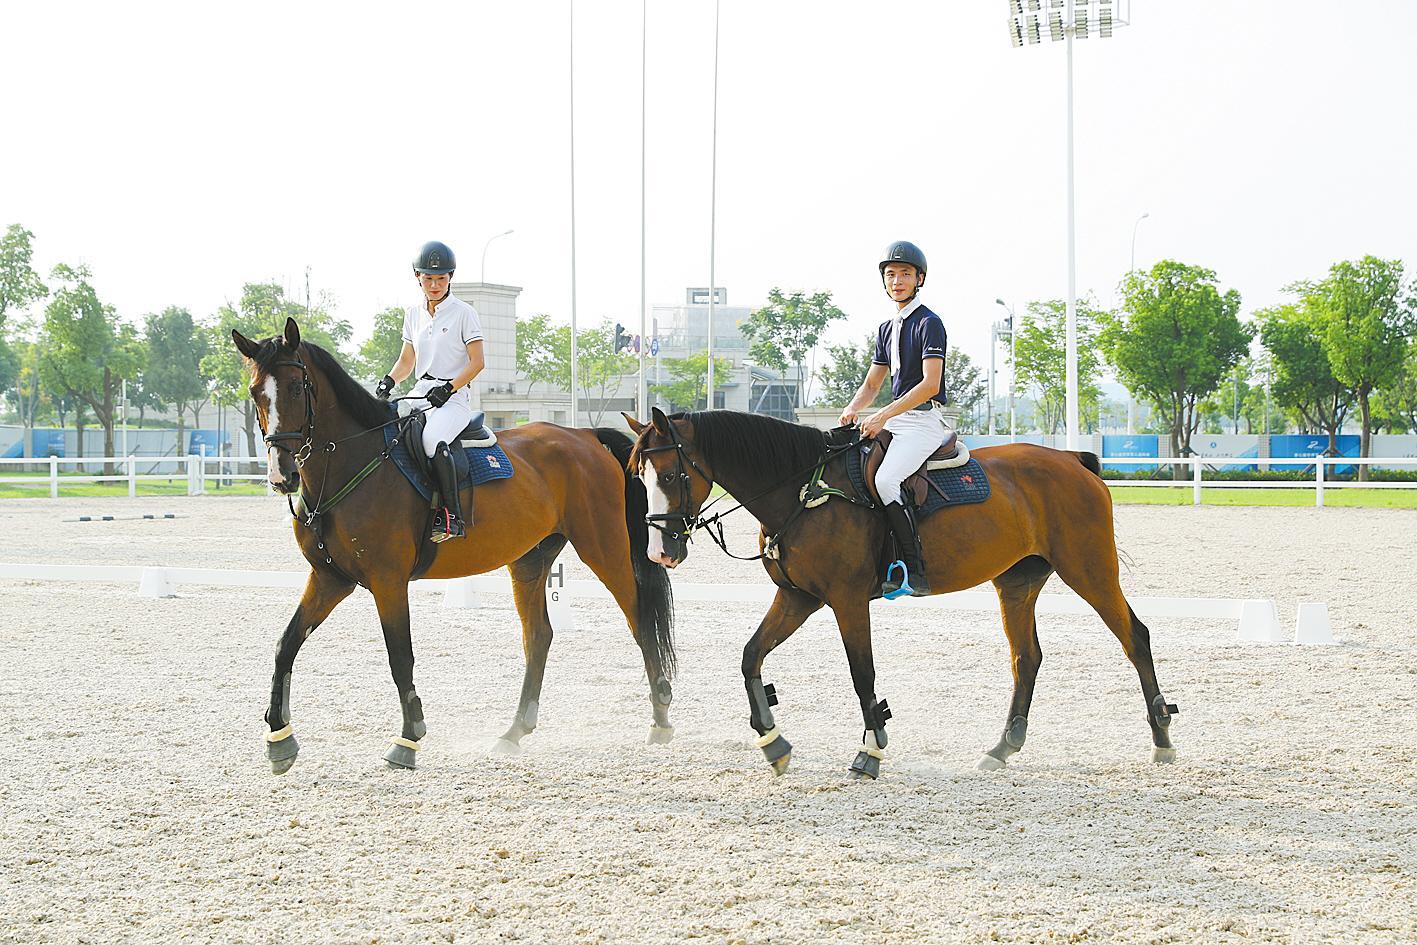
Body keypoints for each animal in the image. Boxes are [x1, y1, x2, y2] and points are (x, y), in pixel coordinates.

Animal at [232, 320, 674, 776]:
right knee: (538, 636)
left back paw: (660, 719)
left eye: (295, 388)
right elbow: (285, 645)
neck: (352, 465)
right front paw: (279, 738)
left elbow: (400, 656)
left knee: (640, 621)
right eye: (254, 392)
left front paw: (407, 739)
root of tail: (584, 435)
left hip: (603, 549)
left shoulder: (388, 581)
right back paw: (514, 732)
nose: (281, 475)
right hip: (530, 561)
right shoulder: (330, 579)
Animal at [626, 410, 1178, 782]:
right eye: (640, 478)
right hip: (1017, 584)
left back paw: (1163, 738)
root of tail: (1072, 460)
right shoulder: (797, 598)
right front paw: (773, 741)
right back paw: (1002, 748)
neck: (806, 491)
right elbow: (750, 657)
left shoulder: (845, 601)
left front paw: (871, 751)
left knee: (1136, 638)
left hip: (1090, 571)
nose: (660, 551)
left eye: (671, 475)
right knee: (1027, 658)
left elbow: (862, 674)